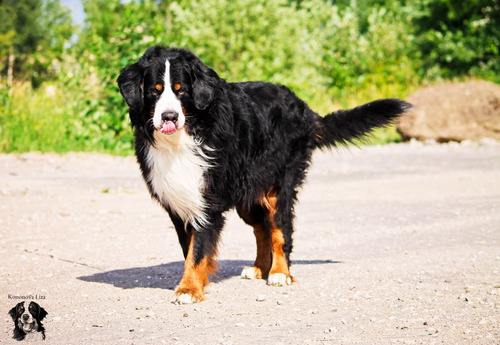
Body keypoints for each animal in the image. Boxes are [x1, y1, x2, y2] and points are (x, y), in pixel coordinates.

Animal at [117, 45, 410, 304]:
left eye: (182, 91)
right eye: (154, 92)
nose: (169, 116)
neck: (184, 139)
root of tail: (304, 109)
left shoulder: (207, 202)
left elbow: (198, 251)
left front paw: (189, 289)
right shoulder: (179, 203)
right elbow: (189, 248)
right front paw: (192, 283)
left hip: (280, 187)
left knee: (280, 231)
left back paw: (280, 273)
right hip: (250, 193)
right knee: (262, 229)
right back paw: (259, 268)